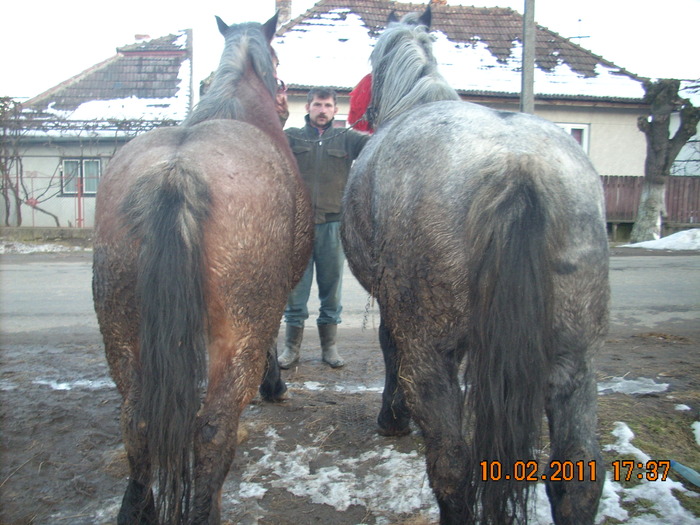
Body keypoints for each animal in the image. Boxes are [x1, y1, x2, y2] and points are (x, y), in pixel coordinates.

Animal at [93, 13, 312, 524]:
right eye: (277, 62)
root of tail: (177, 171)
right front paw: (275, 386)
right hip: (237, 335)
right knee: (213, 428)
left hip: (121, 331)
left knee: (137, 420)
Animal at [342, 8, 608, 524]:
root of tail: (517, 166)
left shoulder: (395, 310)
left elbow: (388, 347)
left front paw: (393, 418)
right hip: (576, 356)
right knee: (579, 474)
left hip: (432, 353)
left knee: (452, 464)